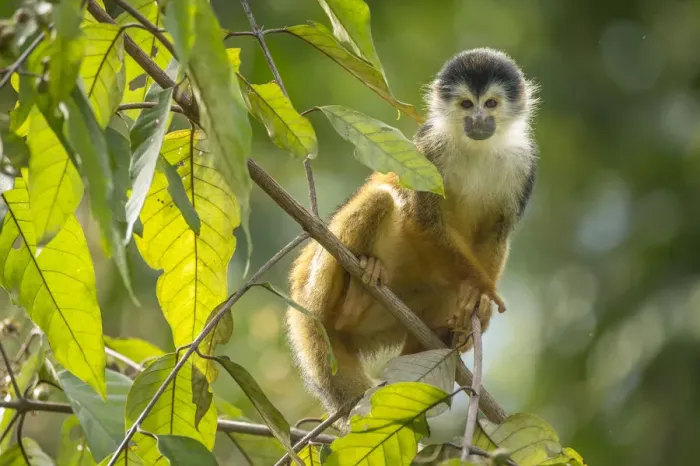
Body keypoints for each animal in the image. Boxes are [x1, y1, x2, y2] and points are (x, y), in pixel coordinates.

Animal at [286, 48, 539, 423]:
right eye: (467, 104)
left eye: (491, 104)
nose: (479, 119)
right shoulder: (430, 148)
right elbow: (423, 217)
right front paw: (482, 290)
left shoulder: (525, 164)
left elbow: (498, 231)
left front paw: (478, 306)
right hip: (318, 281)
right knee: (381, 197)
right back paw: (352, 296)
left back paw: (444, 335)